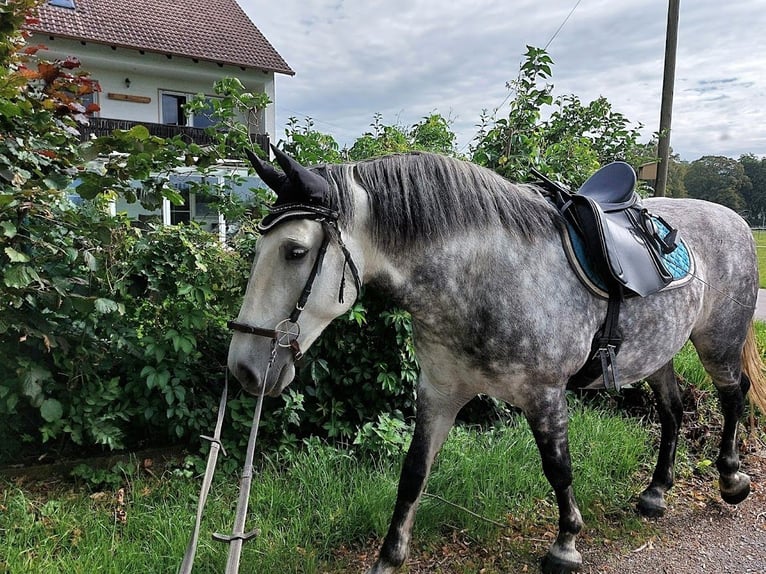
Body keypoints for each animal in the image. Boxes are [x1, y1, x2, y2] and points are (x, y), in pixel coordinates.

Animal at [227, 147, 766, 574]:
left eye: (296, 251)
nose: (245, 369)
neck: (483, 278)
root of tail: (735, 219)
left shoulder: (544, 395)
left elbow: (558, 468)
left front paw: (566, 545)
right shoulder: (440, 392)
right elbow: (414, 472)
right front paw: (389, 557)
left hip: (717, 343)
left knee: (732, 396)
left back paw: (732, 479)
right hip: (658, 353)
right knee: (673, 410)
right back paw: (656, 492)